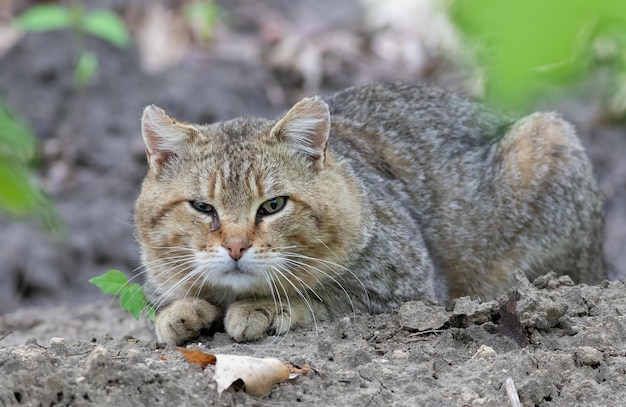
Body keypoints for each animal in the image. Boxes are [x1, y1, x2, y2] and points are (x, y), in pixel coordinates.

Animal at [133, 82, 604, 344]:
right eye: (202, 207)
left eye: (273, 205)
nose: (235, 246)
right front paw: (181, 312)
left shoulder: (408, 289)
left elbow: (326, 297)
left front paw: (261, 307)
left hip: (548, 138)